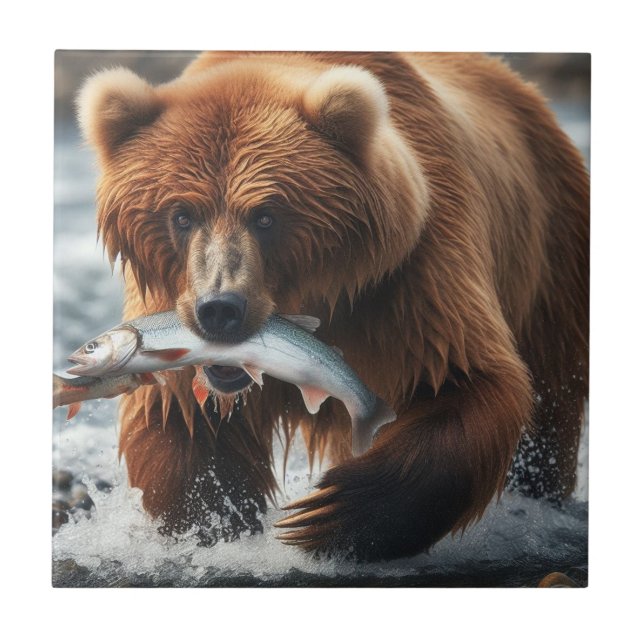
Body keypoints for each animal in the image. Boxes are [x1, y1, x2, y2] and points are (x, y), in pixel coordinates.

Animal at [76, 52, 589, 561]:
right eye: (181, 215)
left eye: (266, 216)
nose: (220, 308)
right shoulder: (170, 309)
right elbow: (182, 423)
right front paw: (215, 527)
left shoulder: (411, 279)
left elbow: (465, 379)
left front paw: (328, 513)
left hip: (552, 253)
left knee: (550, 398)